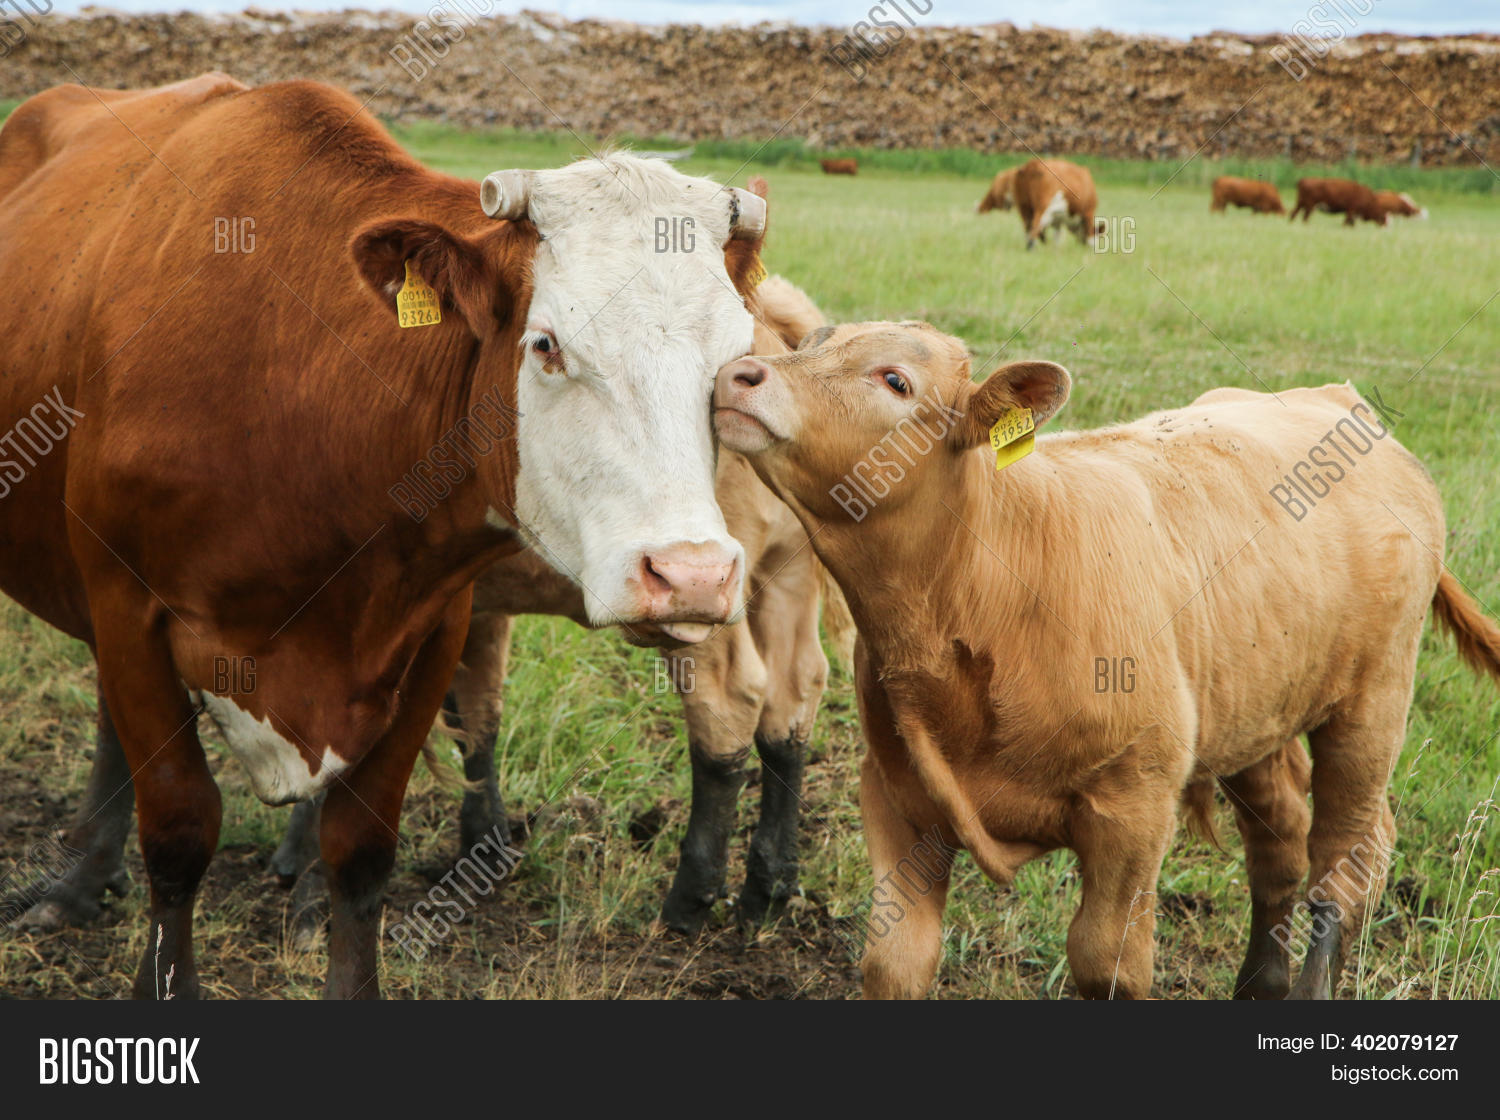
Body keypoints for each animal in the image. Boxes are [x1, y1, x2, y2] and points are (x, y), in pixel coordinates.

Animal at [0, 74, 769, 999]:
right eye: (547, 346)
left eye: (737, 362)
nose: (691, 575)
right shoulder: (129, 609)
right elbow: (180, 832)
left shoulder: (430, 630)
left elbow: (361, 852)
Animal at [713, 321, 1500, 1000]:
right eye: (814, 342)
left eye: (895, 380)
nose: (741, 372)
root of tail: (1341, 403)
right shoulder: (894, 791)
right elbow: (896, 961)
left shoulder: (1133, 807)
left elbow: (1107, 964)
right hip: (1257, 709)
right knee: (1279, 845)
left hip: (1371, 706)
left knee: (1345, 863)